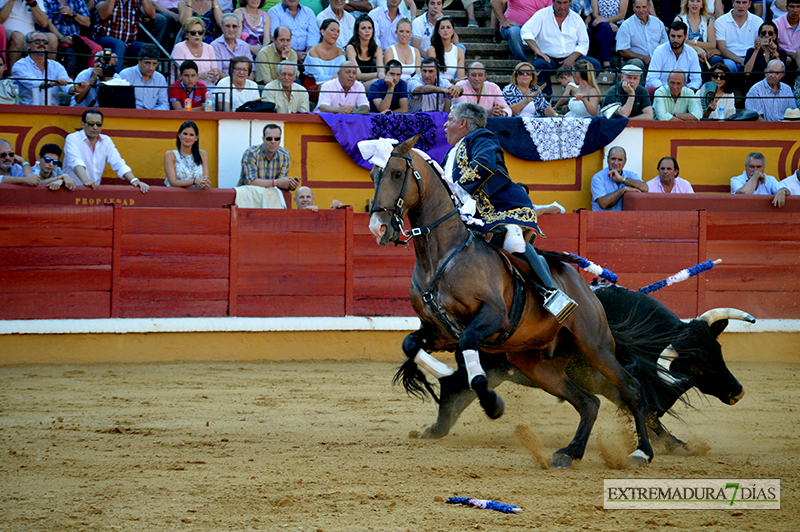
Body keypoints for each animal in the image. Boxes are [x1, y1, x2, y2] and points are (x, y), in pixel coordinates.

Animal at [368, 135, 656, 468]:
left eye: (396, 174)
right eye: (374, 175)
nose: (378, 227)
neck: (442, 256)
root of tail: (587, 290)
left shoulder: (492, 318)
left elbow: (470, 352)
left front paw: (492, 404)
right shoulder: (439, 331)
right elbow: (410, 344)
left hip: (594, 345)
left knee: (631, 389)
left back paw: (642, 452)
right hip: (535, 363)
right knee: (588, 402)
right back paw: (570, 452)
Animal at [410, 282, 752, 454]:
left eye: (717, 351)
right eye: (696, 365)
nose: (736, 391)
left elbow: (648, 410)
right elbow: (647, 412)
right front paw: (674, 444)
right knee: (455, 387)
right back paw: (434, 430)